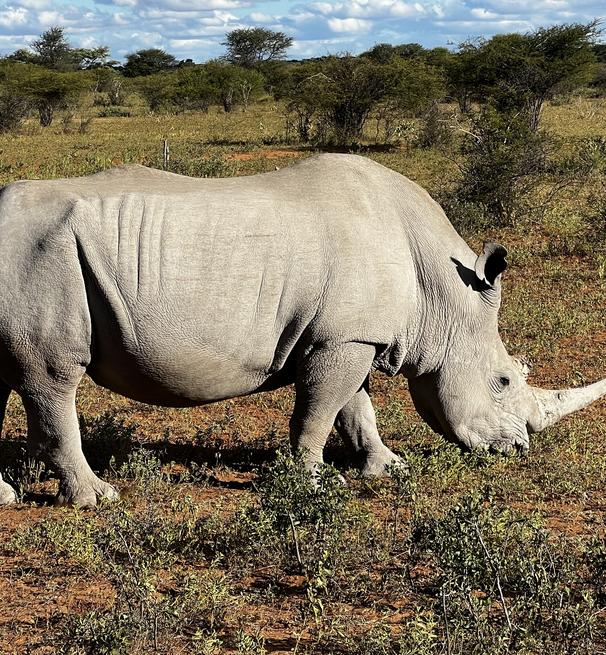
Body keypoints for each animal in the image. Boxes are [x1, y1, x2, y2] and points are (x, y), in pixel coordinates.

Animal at [0, 153, 604, 507]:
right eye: (503, 381)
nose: (518, 448)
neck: (441, 296)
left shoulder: (353, 335)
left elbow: (356, 409)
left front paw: (387, 468)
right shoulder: (342, 339)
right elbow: (318, 412)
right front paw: (314, 483)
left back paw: (8, 498)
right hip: (41, 257)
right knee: (53, 379)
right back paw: (99, 500)